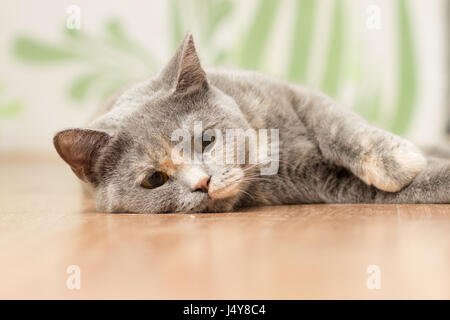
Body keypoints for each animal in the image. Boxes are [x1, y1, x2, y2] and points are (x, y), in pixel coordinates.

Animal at [53, 33, 450, 214]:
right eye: (154, 179)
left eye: (207, 140)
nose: (203, 182)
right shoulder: (322, 183)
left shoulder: (298, 96)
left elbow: (340, 126)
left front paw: (396, 161)